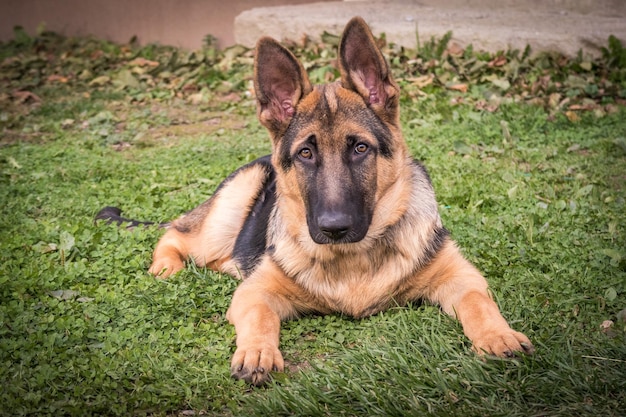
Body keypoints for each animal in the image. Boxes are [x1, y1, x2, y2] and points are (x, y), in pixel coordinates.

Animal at [97, 17, 532, 386]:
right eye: (306, 154)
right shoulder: (256, 293)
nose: (333, 228)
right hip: (227, 213)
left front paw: (498, 335)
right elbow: (260, 316)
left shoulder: (462, 277)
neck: (353, 260)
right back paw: (165, 266)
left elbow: (479, 302)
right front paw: (257, 352)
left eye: (360, 148)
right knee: (175, 233)